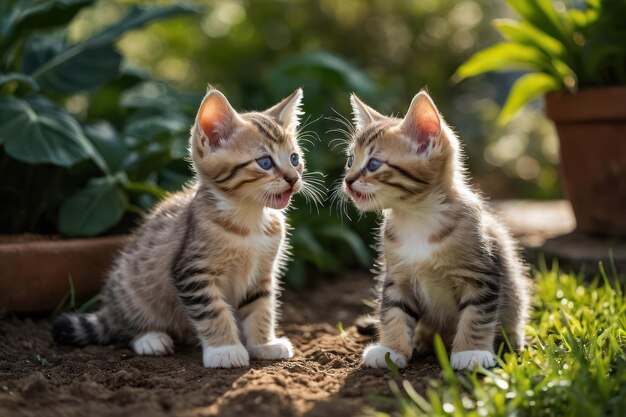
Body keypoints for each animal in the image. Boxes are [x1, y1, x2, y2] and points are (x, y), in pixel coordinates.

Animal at [53, 87, 308, 368]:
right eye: (264, 162)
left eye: (294, 158)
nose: (293, 178)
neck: (251, 219)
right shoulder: (192, 271)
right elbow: (213, 311)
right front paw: (225, 350)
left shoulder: (262, 272)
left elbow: (261, 307)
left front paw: (263, 344)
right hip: (131, 286)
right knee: (123, 325)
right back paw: (150, 338)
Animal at [342, 89, 528, 368]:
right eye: (350, 160)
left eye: (373, 164)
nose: (347, 180)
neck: (416, 217)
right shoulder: (397, 275)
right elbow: (393, 310)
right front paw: (390, 349)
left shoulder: (481, 274)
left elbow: (477, 314)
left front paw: (471, 352)